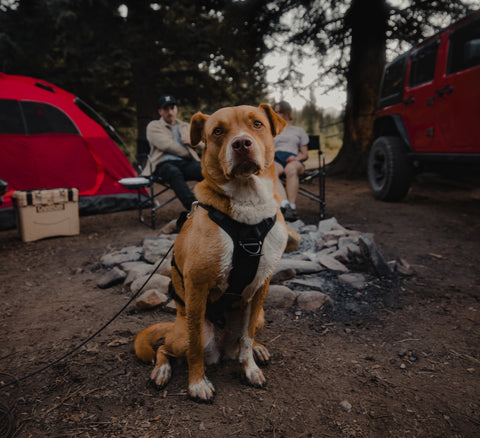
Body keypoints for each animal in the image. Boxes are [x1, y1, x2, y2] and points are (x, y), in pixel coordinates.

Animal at [136, 103, 288, 404]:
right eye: (218, 131)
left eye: (257, 124)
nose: (241, 143)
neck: (248, 205)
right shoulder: (197, 287)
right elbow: (195, 349)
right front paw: (196, 384)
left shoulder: (261, 287)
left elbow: (247, 338)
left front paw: (250, 367)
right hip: (183, 333)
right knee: (165, 349)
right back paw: (162, 371)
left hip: (260, 315)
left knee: (244, 340)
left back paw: (257, 349)